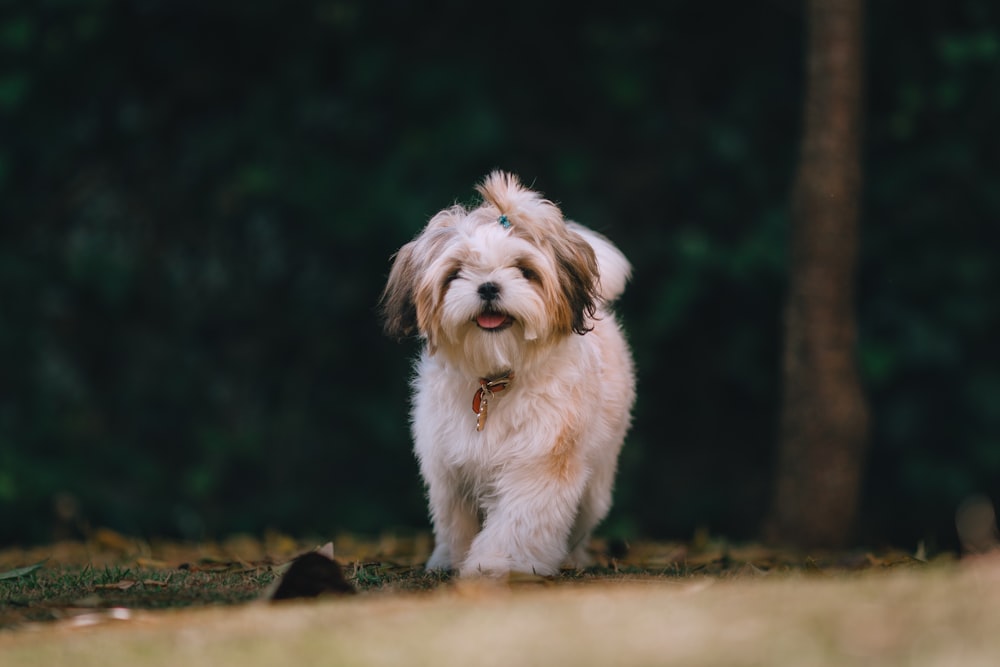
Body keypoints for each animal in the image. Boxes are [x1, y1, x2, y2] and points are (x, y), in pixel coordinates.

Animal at [382, 172, 632, 580]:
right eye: (456, 273)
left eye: (525, 271)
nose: (488, 287)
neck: (495, 381)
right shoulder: (450, 470)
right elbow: (455, 522)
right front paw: (453, 558)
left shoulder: (540, 462)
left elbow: (519, 521)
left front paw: (496, 564)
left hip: (597, 476)